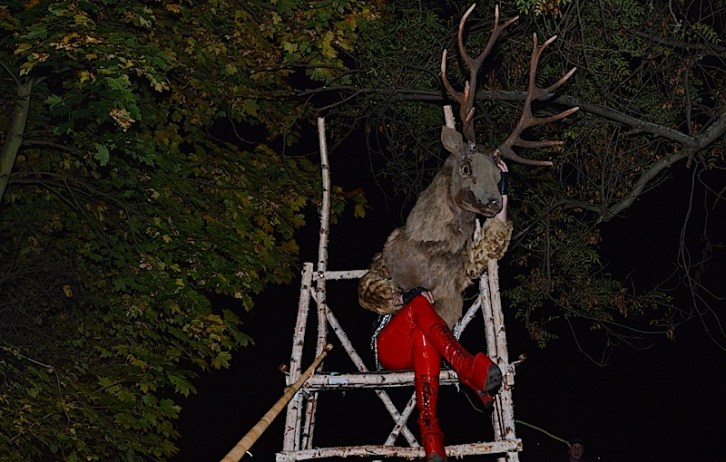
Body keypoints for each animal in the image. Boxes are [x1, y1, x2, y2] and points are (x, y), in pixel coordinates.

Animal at [357, 4, 578, 462]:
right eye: (464, 166)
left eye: (500, 175)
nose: (493, 202)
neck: (431, 247)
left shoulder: (457, 279)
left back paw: (486, 375)